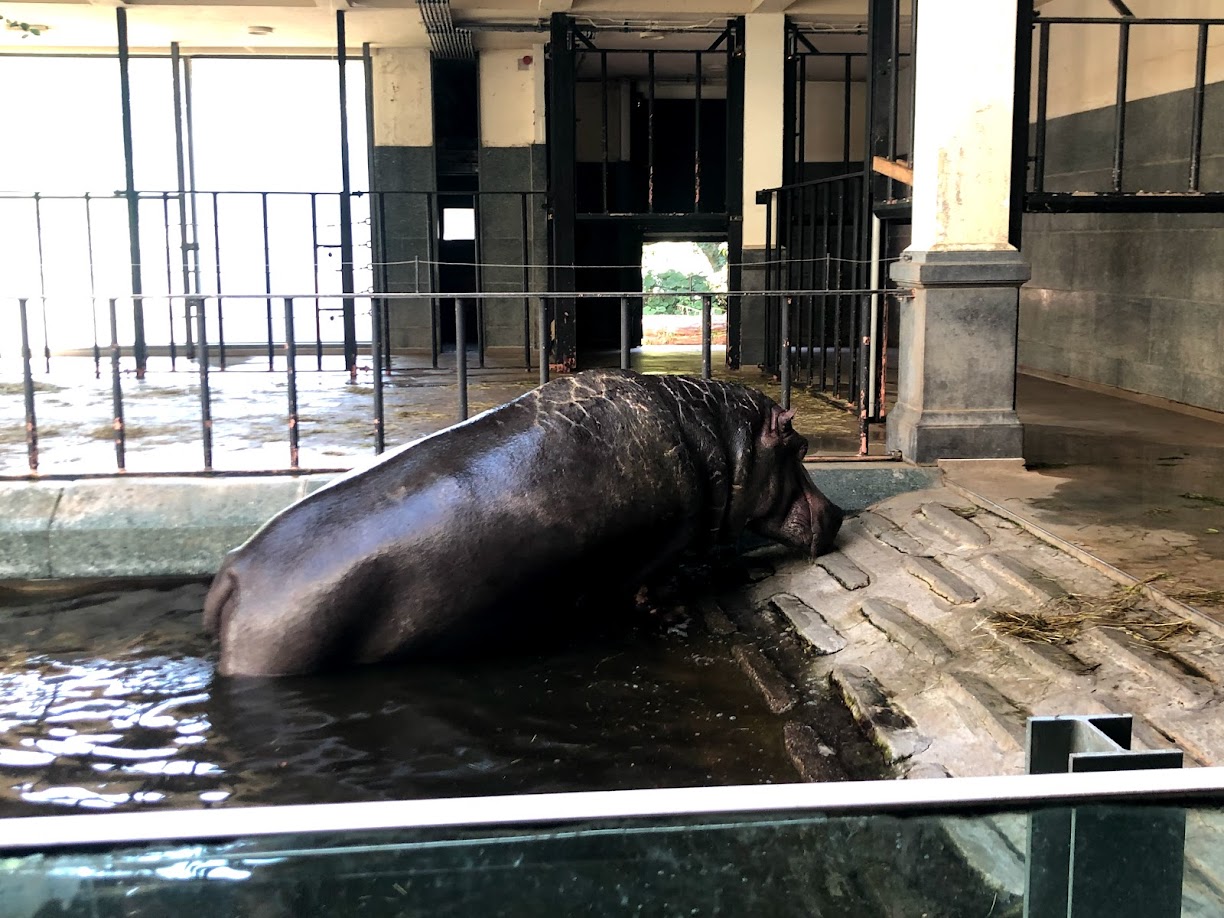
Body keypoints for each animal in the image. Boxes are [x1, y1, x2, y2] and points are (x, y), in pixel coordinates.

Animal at [204, 370, 843, 676]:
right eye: (800, 446)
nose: (838, 514)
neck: (722, 440)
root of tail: (234, 570)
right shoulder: (659, 549)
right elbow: (649, 590)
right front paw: (678, 619)